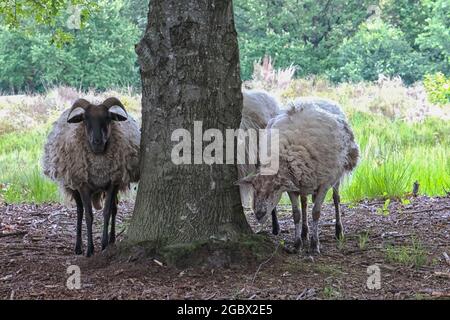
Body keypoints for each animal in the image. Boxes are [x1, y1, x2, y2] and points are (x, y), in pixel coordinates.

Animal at [43, 96, 141, 256]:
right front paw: (89, 249)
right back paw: (78, 247)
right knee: (79, 211)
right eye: (85, 119)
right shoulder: (83, 185)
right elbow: (88, 215)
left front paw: (104, 245)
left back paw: (112, 239)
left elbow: (107, 212)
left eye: (107, 118)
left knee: (114, 208)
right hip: (74, 185)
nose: (97, 141)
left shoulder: (112, 183)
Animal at [239, 99, 358, 254]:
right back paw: (304, 233)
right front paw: (297, 244)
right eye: (254, 187)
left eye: (276, 188)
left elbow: (316, 212)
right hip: (304, 181)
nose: (259, 214)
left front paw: (314, 245)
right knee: (304, 202)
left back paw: (338, 230)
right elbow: (296, 214)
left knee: (336, 198)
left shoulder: (324, 184)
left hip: (335, 173)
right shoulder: (292, 187)